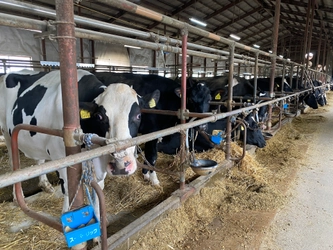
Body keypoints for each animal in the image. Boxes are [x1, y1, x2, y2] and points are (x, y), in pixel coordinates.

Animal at [0, 70, 160, 215]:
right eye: (99, 116)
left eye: (138, 115)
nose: (121, 165)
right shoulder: (61, 159)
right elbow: (68, 192)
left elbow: (98, 192)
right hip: (6, 133)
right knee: (14, 164)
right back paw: (17, 197)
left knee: (39, 160)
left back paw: (45, 185)